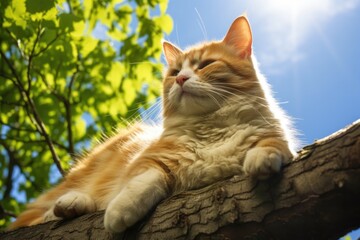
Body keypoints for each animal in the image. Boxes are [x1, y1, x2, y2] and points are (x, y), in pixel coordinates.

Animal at [9, 15, 296, 232]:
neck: (211, 128)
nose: (181, 79)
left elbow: (274, 145)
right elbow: (150, 178)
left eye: (205, 64)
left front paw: (262, 156)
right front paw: (121, 210)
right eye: (175, 72)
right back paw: (66, 206)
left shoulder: (272, 137)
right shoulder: (145, 161)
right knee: (30, 219)